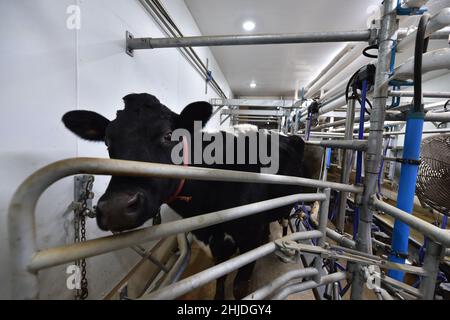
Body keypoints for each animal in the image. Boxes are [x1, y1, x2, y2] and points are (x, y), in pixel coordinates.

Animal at [62, 93, 316, 300]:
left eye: (168, 135)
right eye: (107, 141)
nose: (116, 208)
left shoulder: (248, 238)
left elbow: (239, 287)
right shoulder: (217, 242)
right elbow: (220, 277)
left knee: (283, 220)